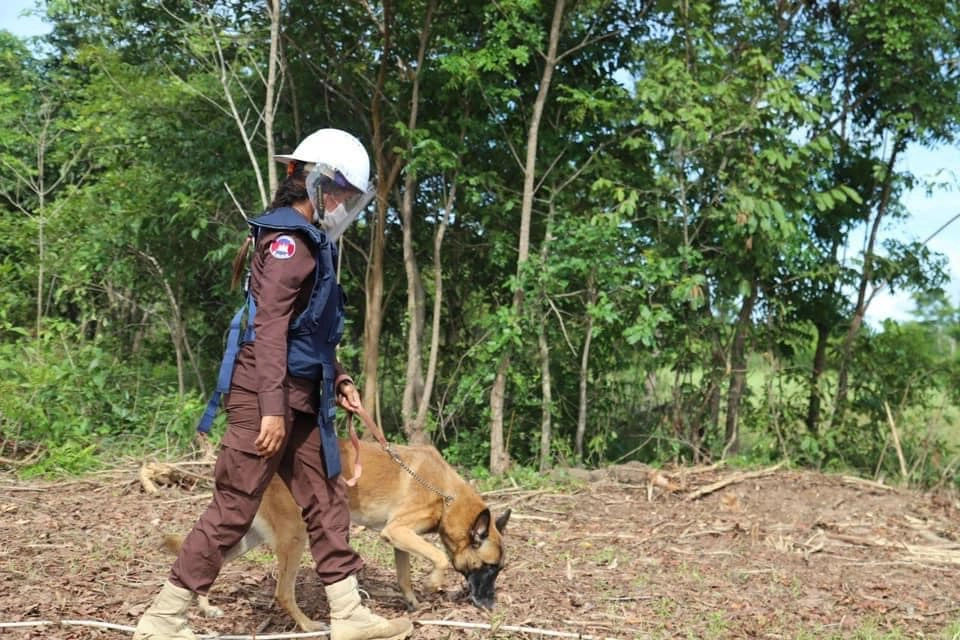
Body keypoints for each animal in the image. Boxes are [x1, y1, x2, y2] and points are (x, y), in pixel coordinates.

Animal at [165, 438, 510, 631]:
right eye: (490, 568)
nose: (492, 606)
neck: (447, 495)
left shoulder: (399, 538)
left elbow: (404, 575)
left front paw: (413, 601)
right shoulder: (398, 530)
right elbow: (438, 556)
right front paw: (433, 583)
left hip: (250, 536)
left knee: (214, 557)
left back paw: (205, 607)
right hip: (295, 537)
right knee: (282, 592)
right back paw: (307, 625)